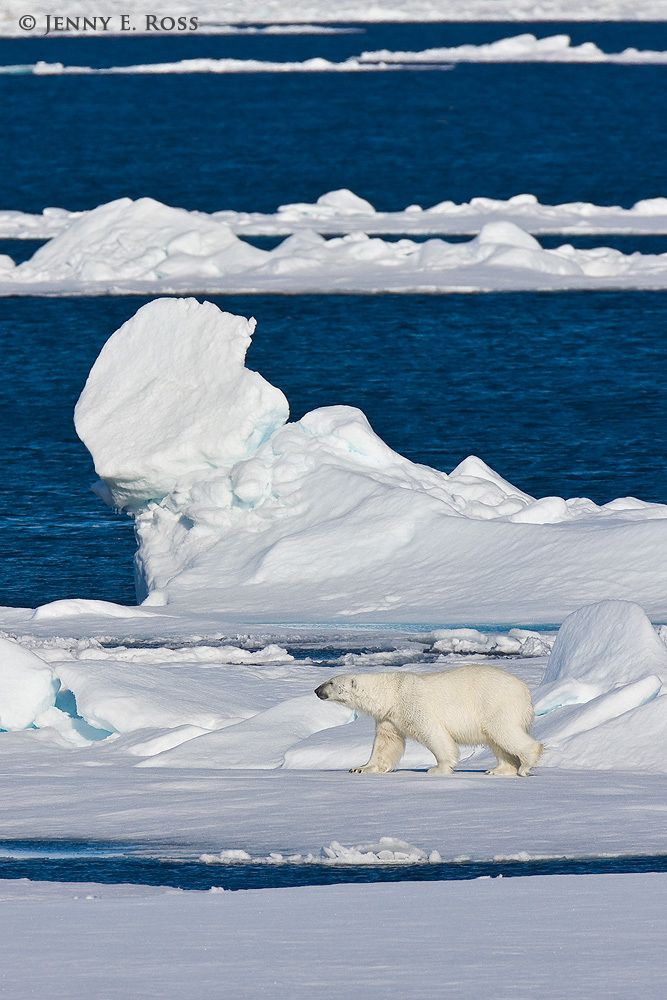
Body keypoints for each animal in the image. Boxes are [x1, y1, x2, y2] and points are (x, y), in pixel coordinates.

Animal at [314, 664, 543, 777]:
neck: (391, 692)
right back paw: (498, 770)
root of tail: (525, 691)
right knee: (496, 741)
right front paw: (360, 768)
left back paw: (525, 765)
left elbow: (433, 733)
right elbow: (386, 743)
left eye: (331, 682)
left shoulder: (413, 704)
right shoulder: (388, 716)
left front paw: (437, 769)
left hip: (496, 703)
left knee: (503, 732)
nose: (316, 690)